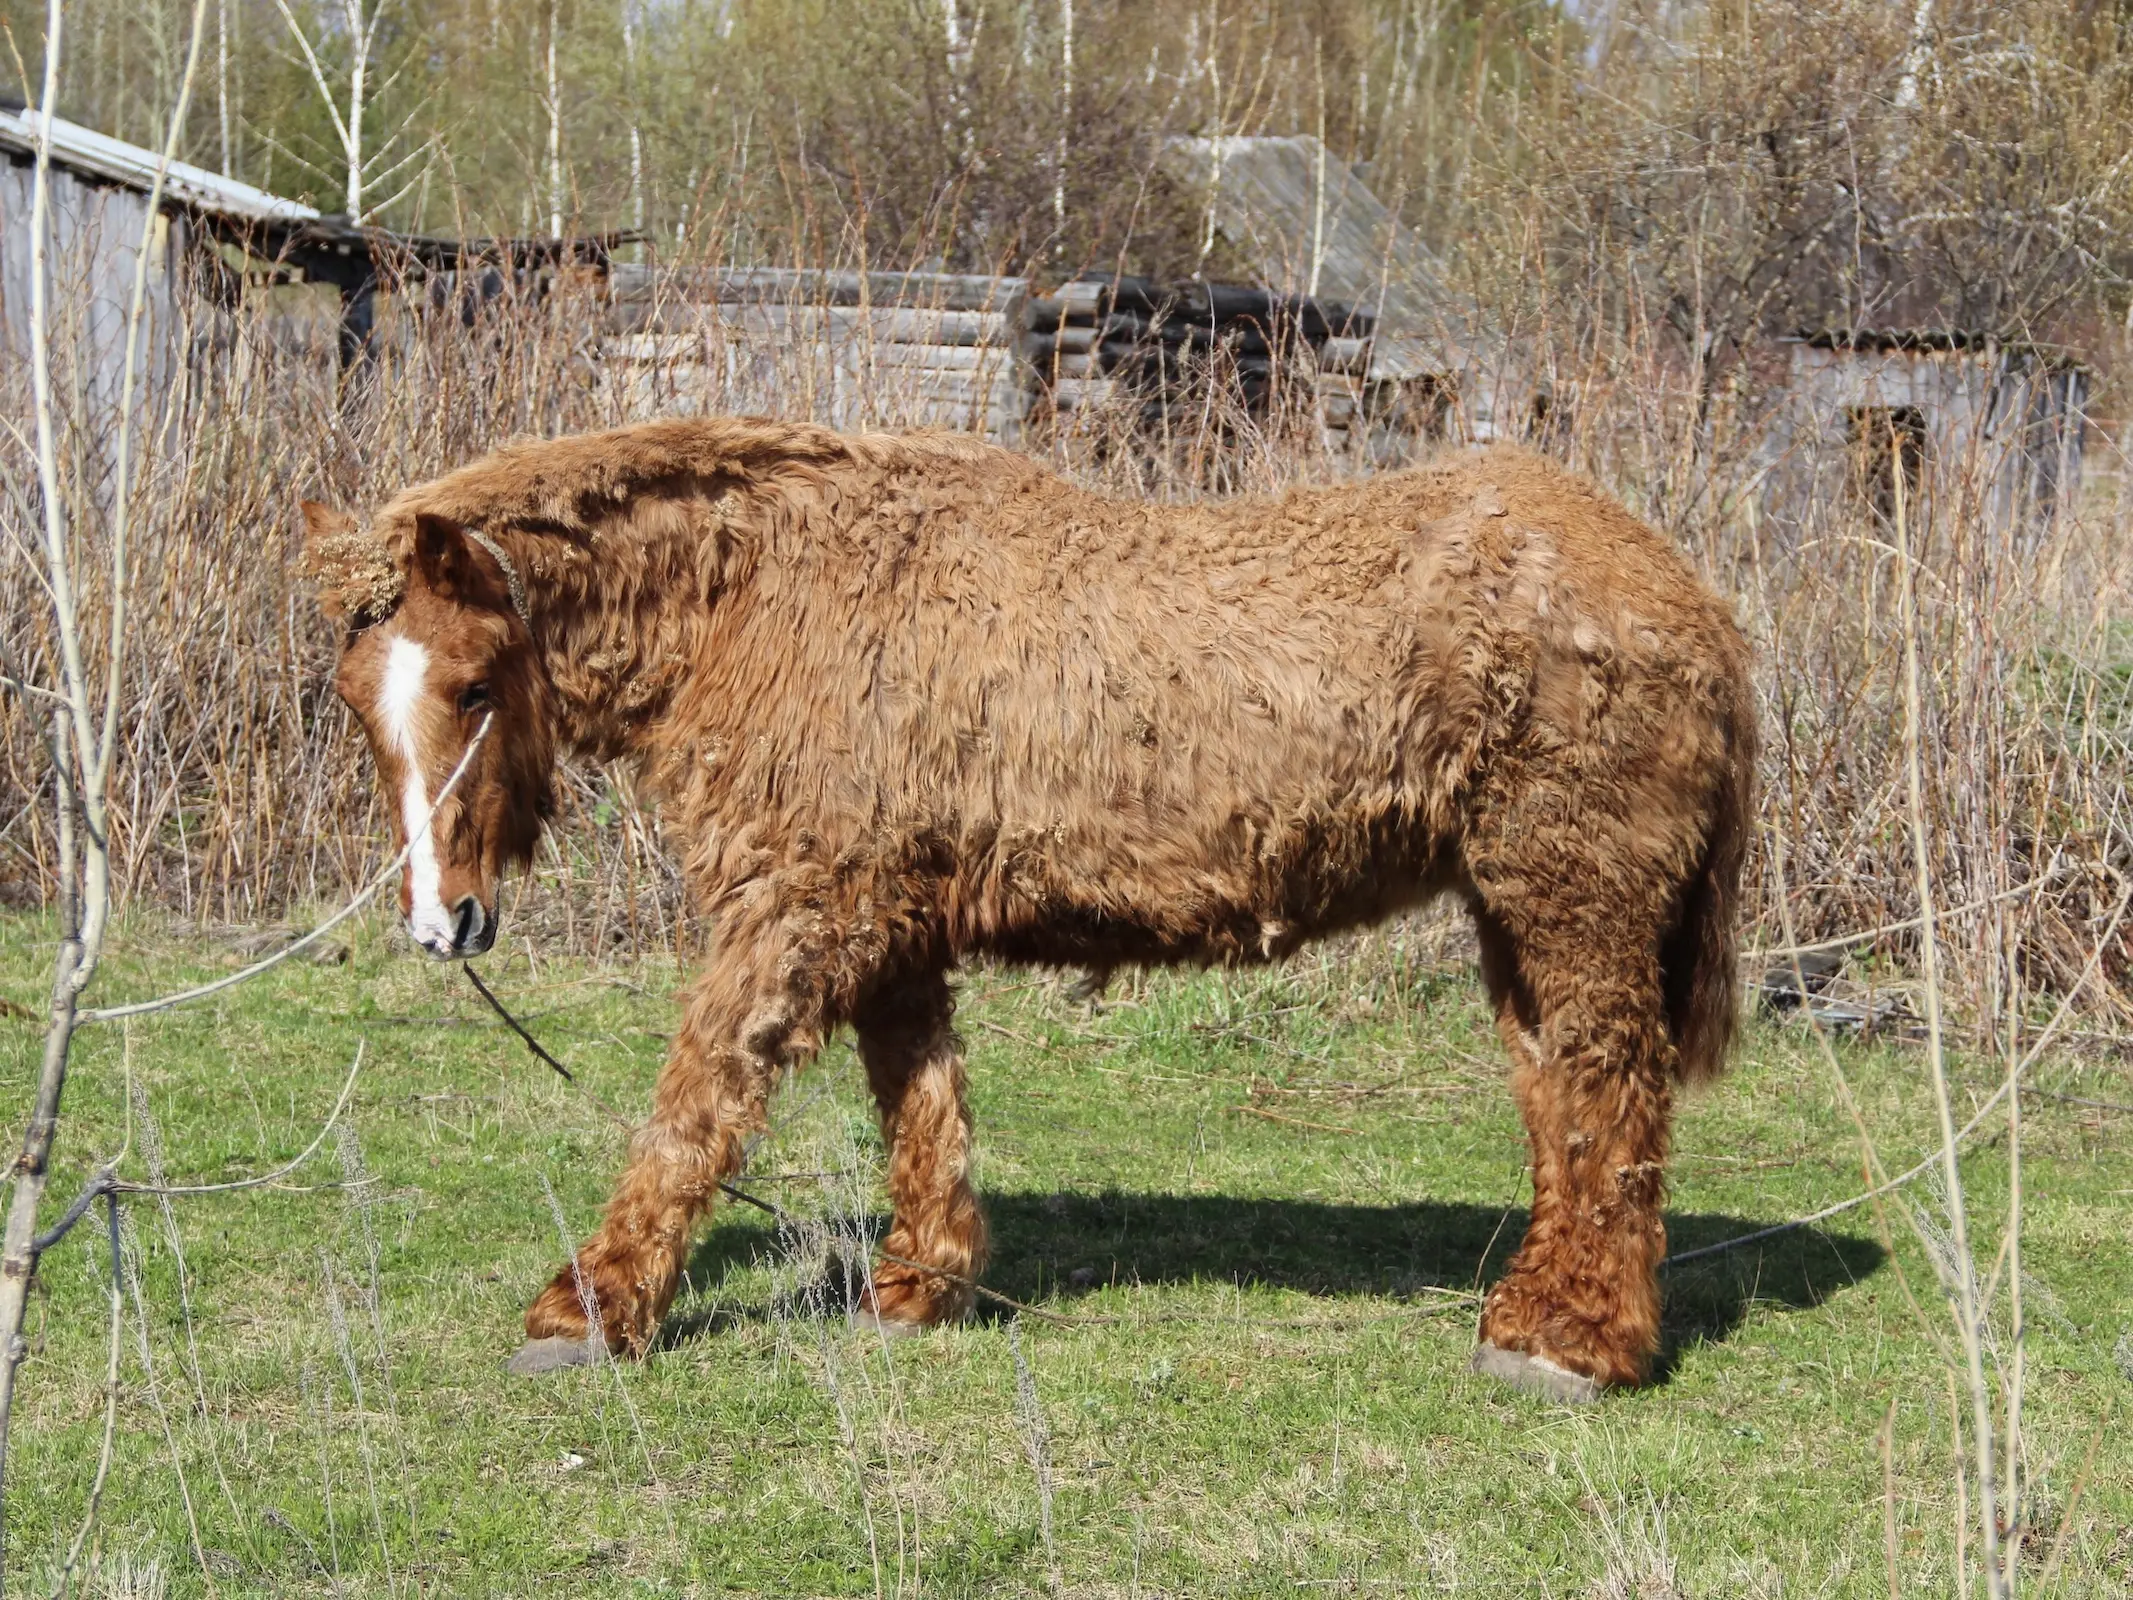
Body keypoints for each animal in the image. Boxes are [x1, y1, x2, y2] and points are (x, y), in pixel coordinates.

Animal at [309, 413, 1757, 1399]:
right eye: (354, 699)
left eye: (477, 684)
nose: (442, 922)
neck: (775, 596)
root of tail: (1693, 597)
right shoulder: (890, 927)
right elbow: (919, 1103)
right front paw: (920, 1284)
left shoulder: (796, 915)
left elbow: (694, 1107)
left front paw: (593, 1306)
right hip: (1518, 917)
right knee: (1563, 1107)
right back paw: (1535, 1312)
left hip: (1574, 903)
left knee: (1612, 1089)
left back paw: (1582, 1342)